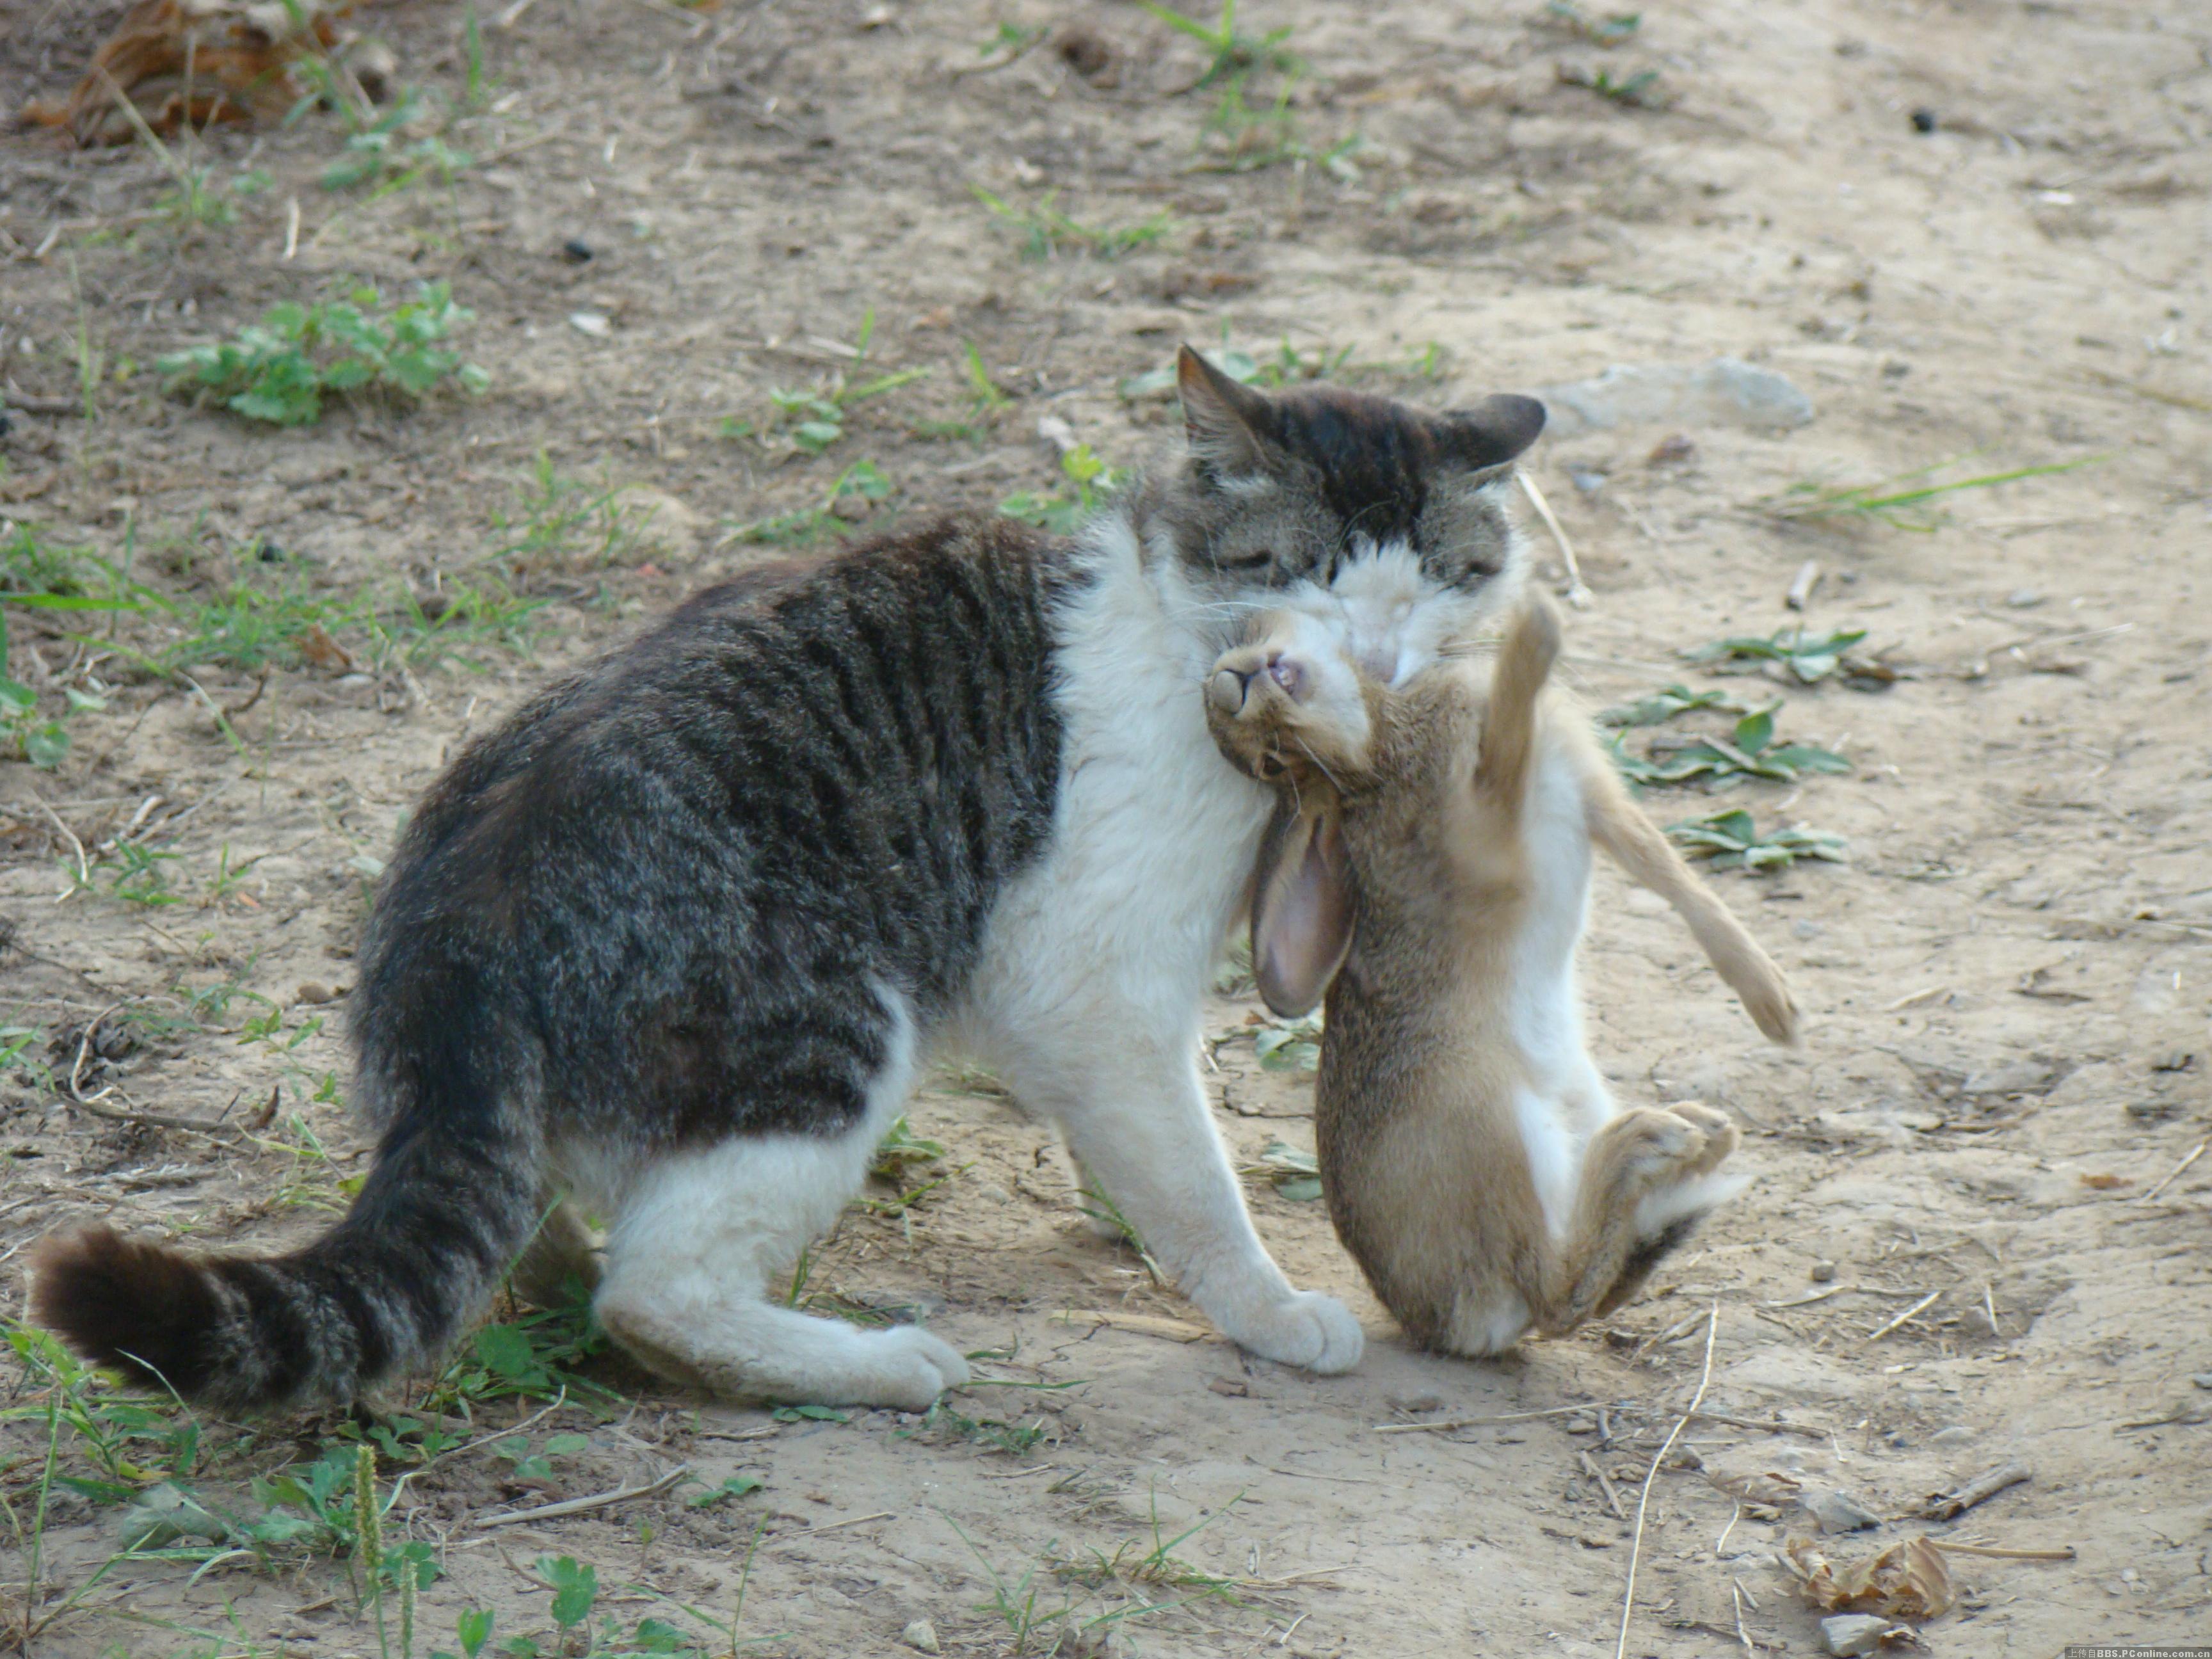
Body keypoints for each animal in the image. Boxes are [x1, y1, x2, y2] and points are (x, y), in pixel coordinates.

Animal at [38, 351, 1557, 1415]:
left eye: (1432, 582)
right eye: (1307, 574)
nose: (1373, 653)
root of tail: (456, 934)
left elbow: (1134, 1146)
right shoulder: (1090, 980)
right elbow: (1194, 1177)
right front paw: (1267, 1305)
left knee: (546, 1247)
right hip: (828, 1030)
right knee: (657, 1295)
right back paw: (874, 1364)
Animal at [1212, 605, 1796, 1354]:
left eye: (1270, 761)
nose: (1230, 687)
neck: (1377, 742)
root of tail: (1446, 1325)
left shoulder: (1588, 794)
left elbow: (1670, 875)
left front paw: (1777, 1008)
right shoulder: (1489, 817)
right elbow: (1508, 741)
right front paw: (1534, 628)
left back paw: (1702, 1132)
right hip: (1481, 1112)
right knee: (1556, 1296)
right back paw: (1651, 1140)